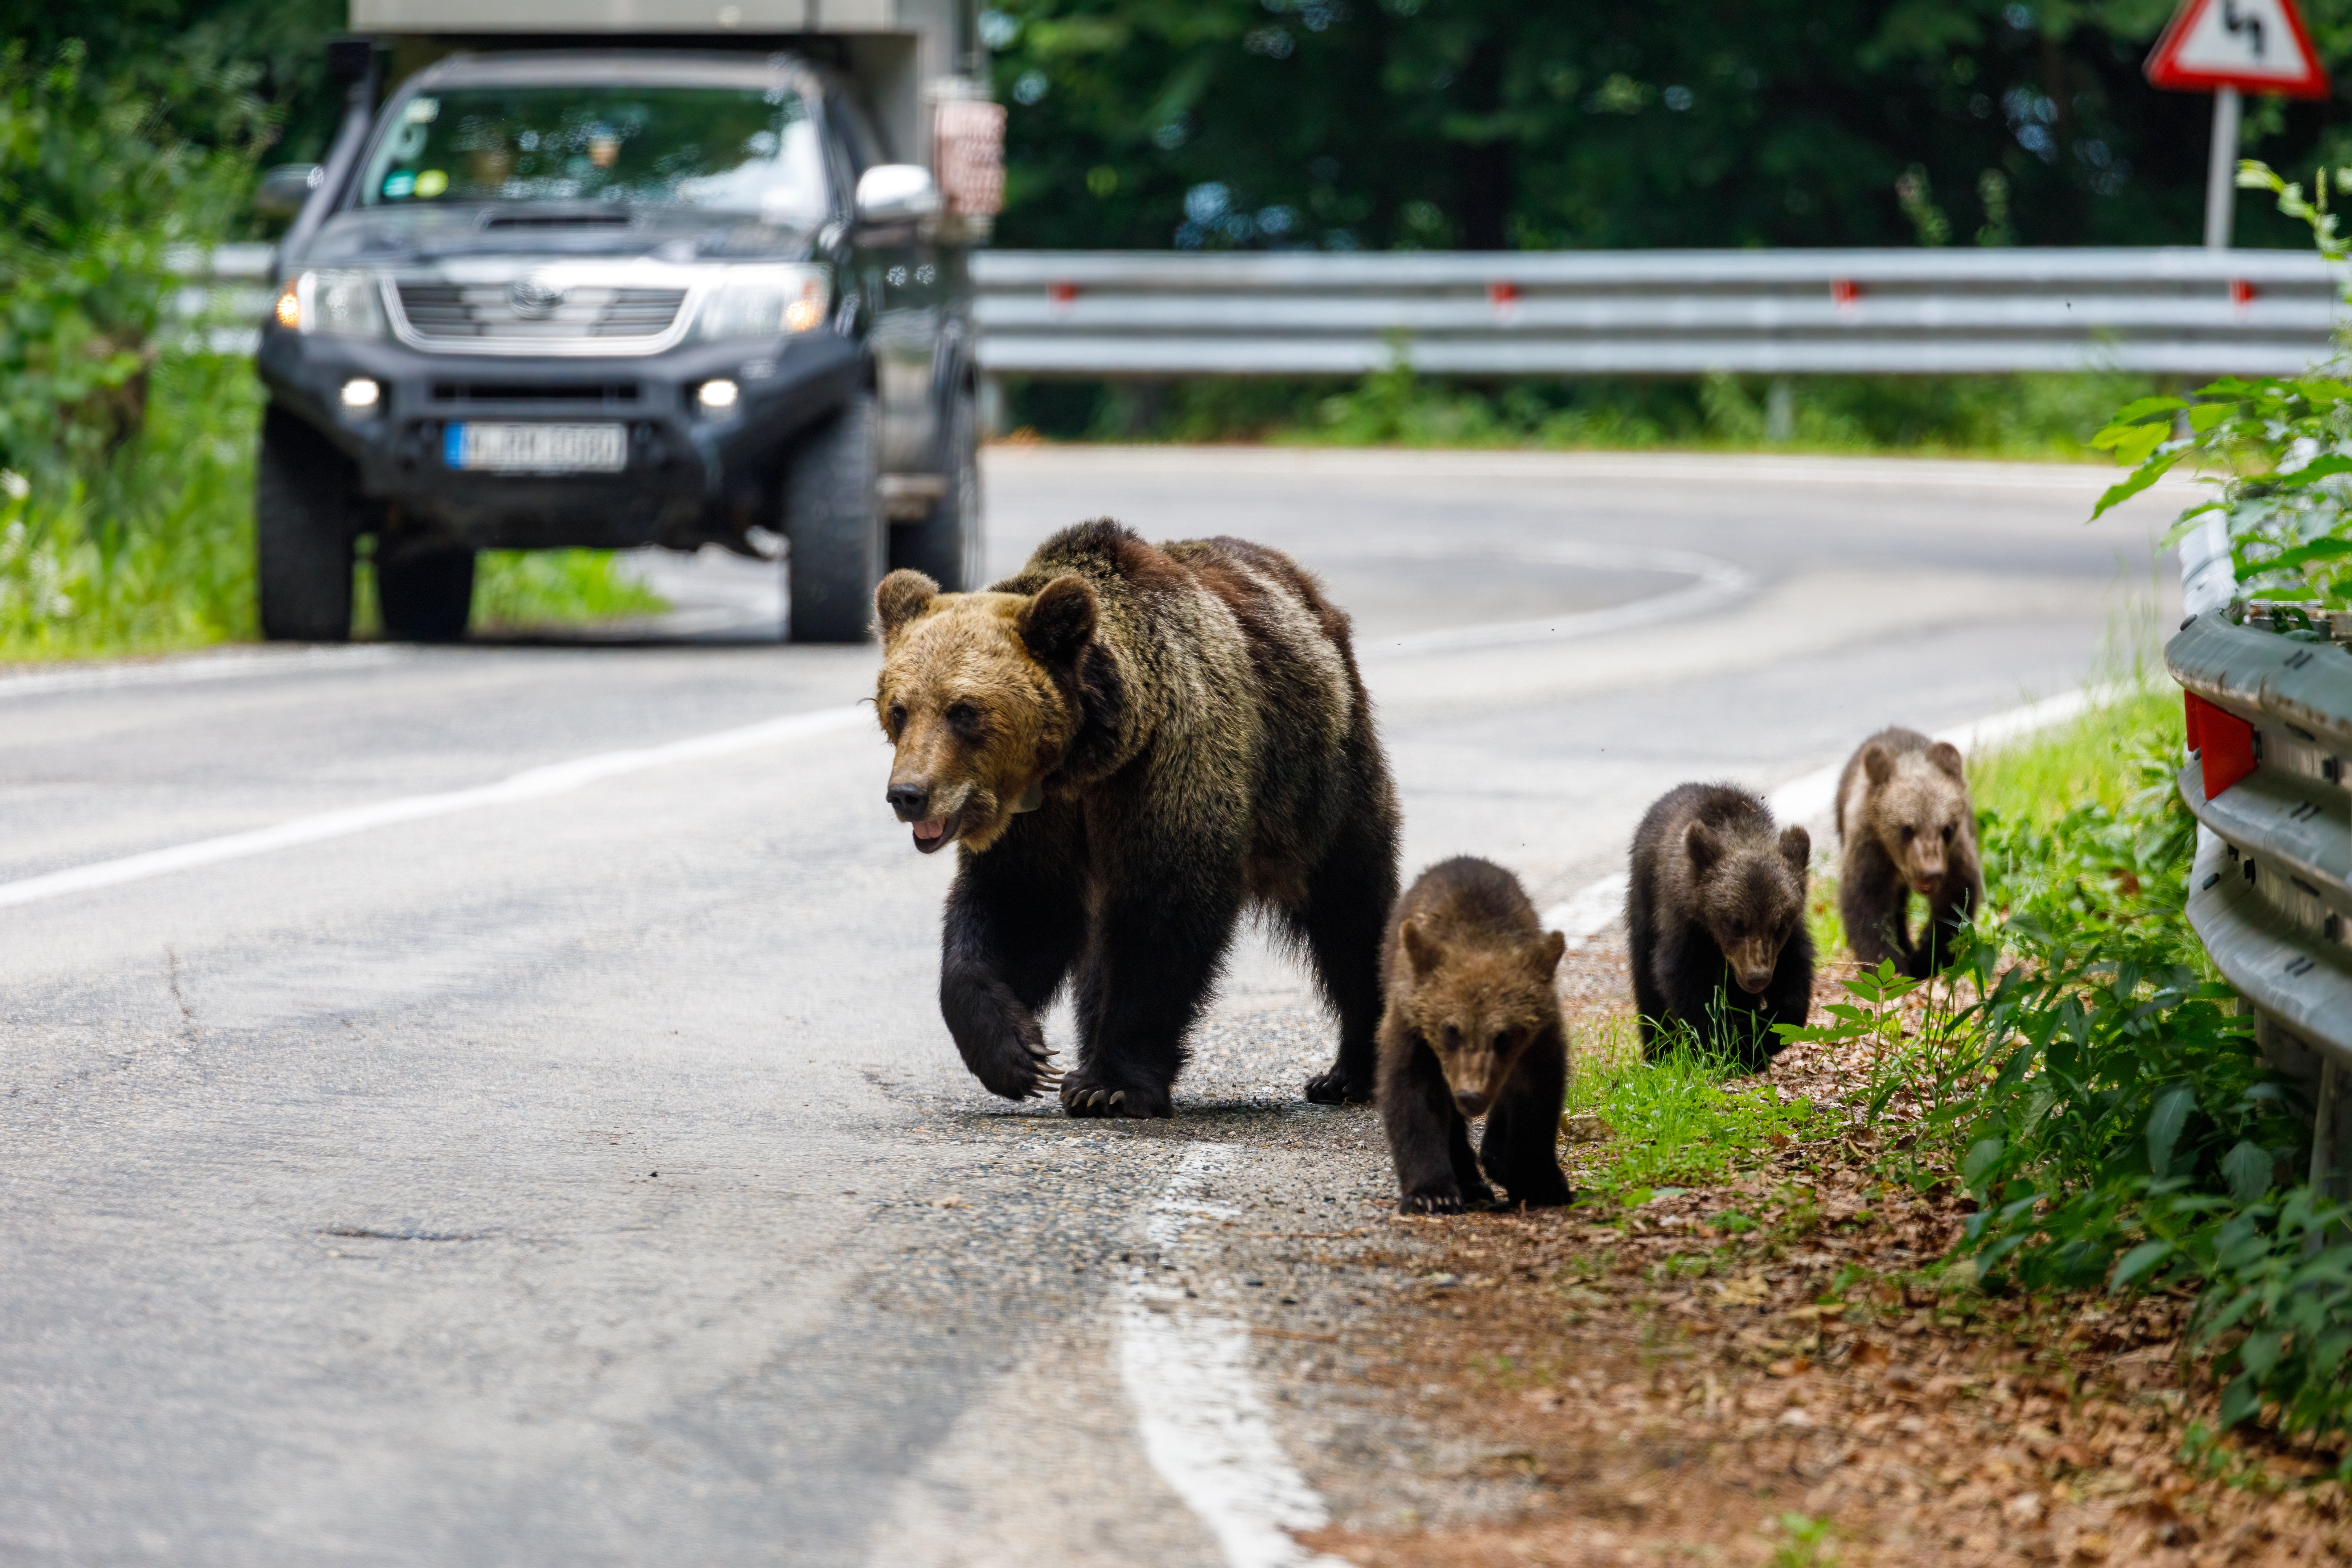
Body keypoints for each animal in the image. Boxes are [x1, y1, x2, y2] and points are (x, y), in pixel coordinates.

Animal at [872, 519, 1401, 1118]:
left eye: (965, 711)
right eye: (899, 708)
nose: (908, 794)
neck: (1091, 754)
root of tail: (1308, 588)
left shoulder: (1170, 767)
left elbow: (1162, 919)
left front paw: (1112, 1082)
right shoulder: (1042, 817)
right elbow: (1020, 907)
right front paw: (1017, 1055)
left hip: (1321, 777)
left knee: (1351, 909)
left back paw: (1348, 1072)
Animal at [1375, 857, 1574, 1215]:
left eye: (1505, 1036)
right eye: (1450, 1030)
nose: (1471, 1095)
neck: (1479, 939)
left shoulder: (1540, 1039)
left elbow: (1536, 1100)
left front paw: (1541, 1181)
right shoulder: (1413, 1027)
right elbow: (1413, 1095)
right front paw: (1432, 1194)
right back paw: (1471, 1181)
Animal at [1626, 783, 1812, 1069]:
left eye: (1779, 924)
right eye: (1736, 923)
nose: (1757, 977)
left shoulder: (1787, 941)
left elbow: (1793, 987)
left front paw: (1755, 1034)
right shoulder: (1683, 921)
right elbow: (1685, 983)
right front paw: (1722, 1044)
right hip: (1644, 898)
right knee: (1645, 977)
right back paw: (1659, 1050)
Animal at [1835, 727, 1984, 979]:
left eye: (1947, 828)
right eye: (1906, 829)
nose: (1930, 872)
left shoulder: (1955, 856)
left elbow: (1955, 904)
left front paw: (1927, 959)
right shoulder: (1870, 851)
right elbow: (1867, 909)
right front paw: (1891, 967)